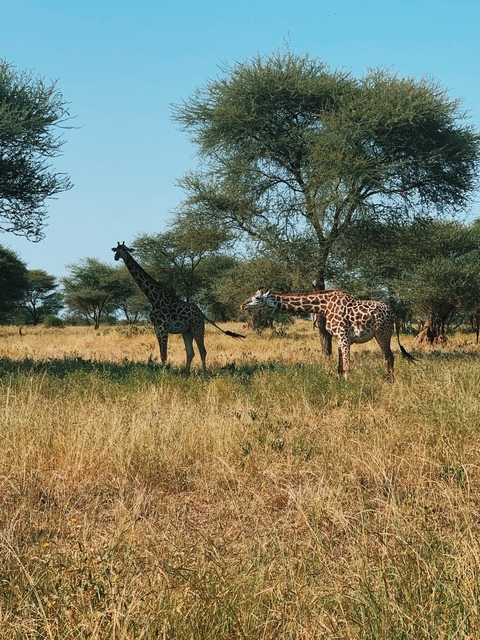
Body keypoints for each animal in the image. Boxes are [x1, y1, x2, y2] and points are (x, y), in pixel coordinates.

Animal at [112, 242, 244, 372]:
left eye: (124, 249)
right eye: (116, 249)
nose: (116, 257)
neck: (153, 298)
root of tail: (202, 314)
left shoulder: (164, 327)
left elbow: (164, 355)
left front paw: (164, 373)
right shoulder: (157, 328)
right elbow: (162, 354)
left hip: (198, 328)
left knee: (203, 351)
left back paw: (204, 374)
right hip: (187, 331)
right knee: (191, 353)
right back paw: (186, 374)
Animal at [243, 289, 415, 378]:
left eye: (257, 297)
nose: (243, 304)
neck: (323, 306)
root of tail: (393, 313)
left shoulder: (344, 336)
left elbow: (347, 365)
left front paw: (348, 385)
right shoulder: (338, 337)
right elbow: (339, 366)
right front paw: (340, 383)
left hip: (382, 334)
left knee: (389, 357)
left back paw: (389, 380)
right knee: (389, 357)